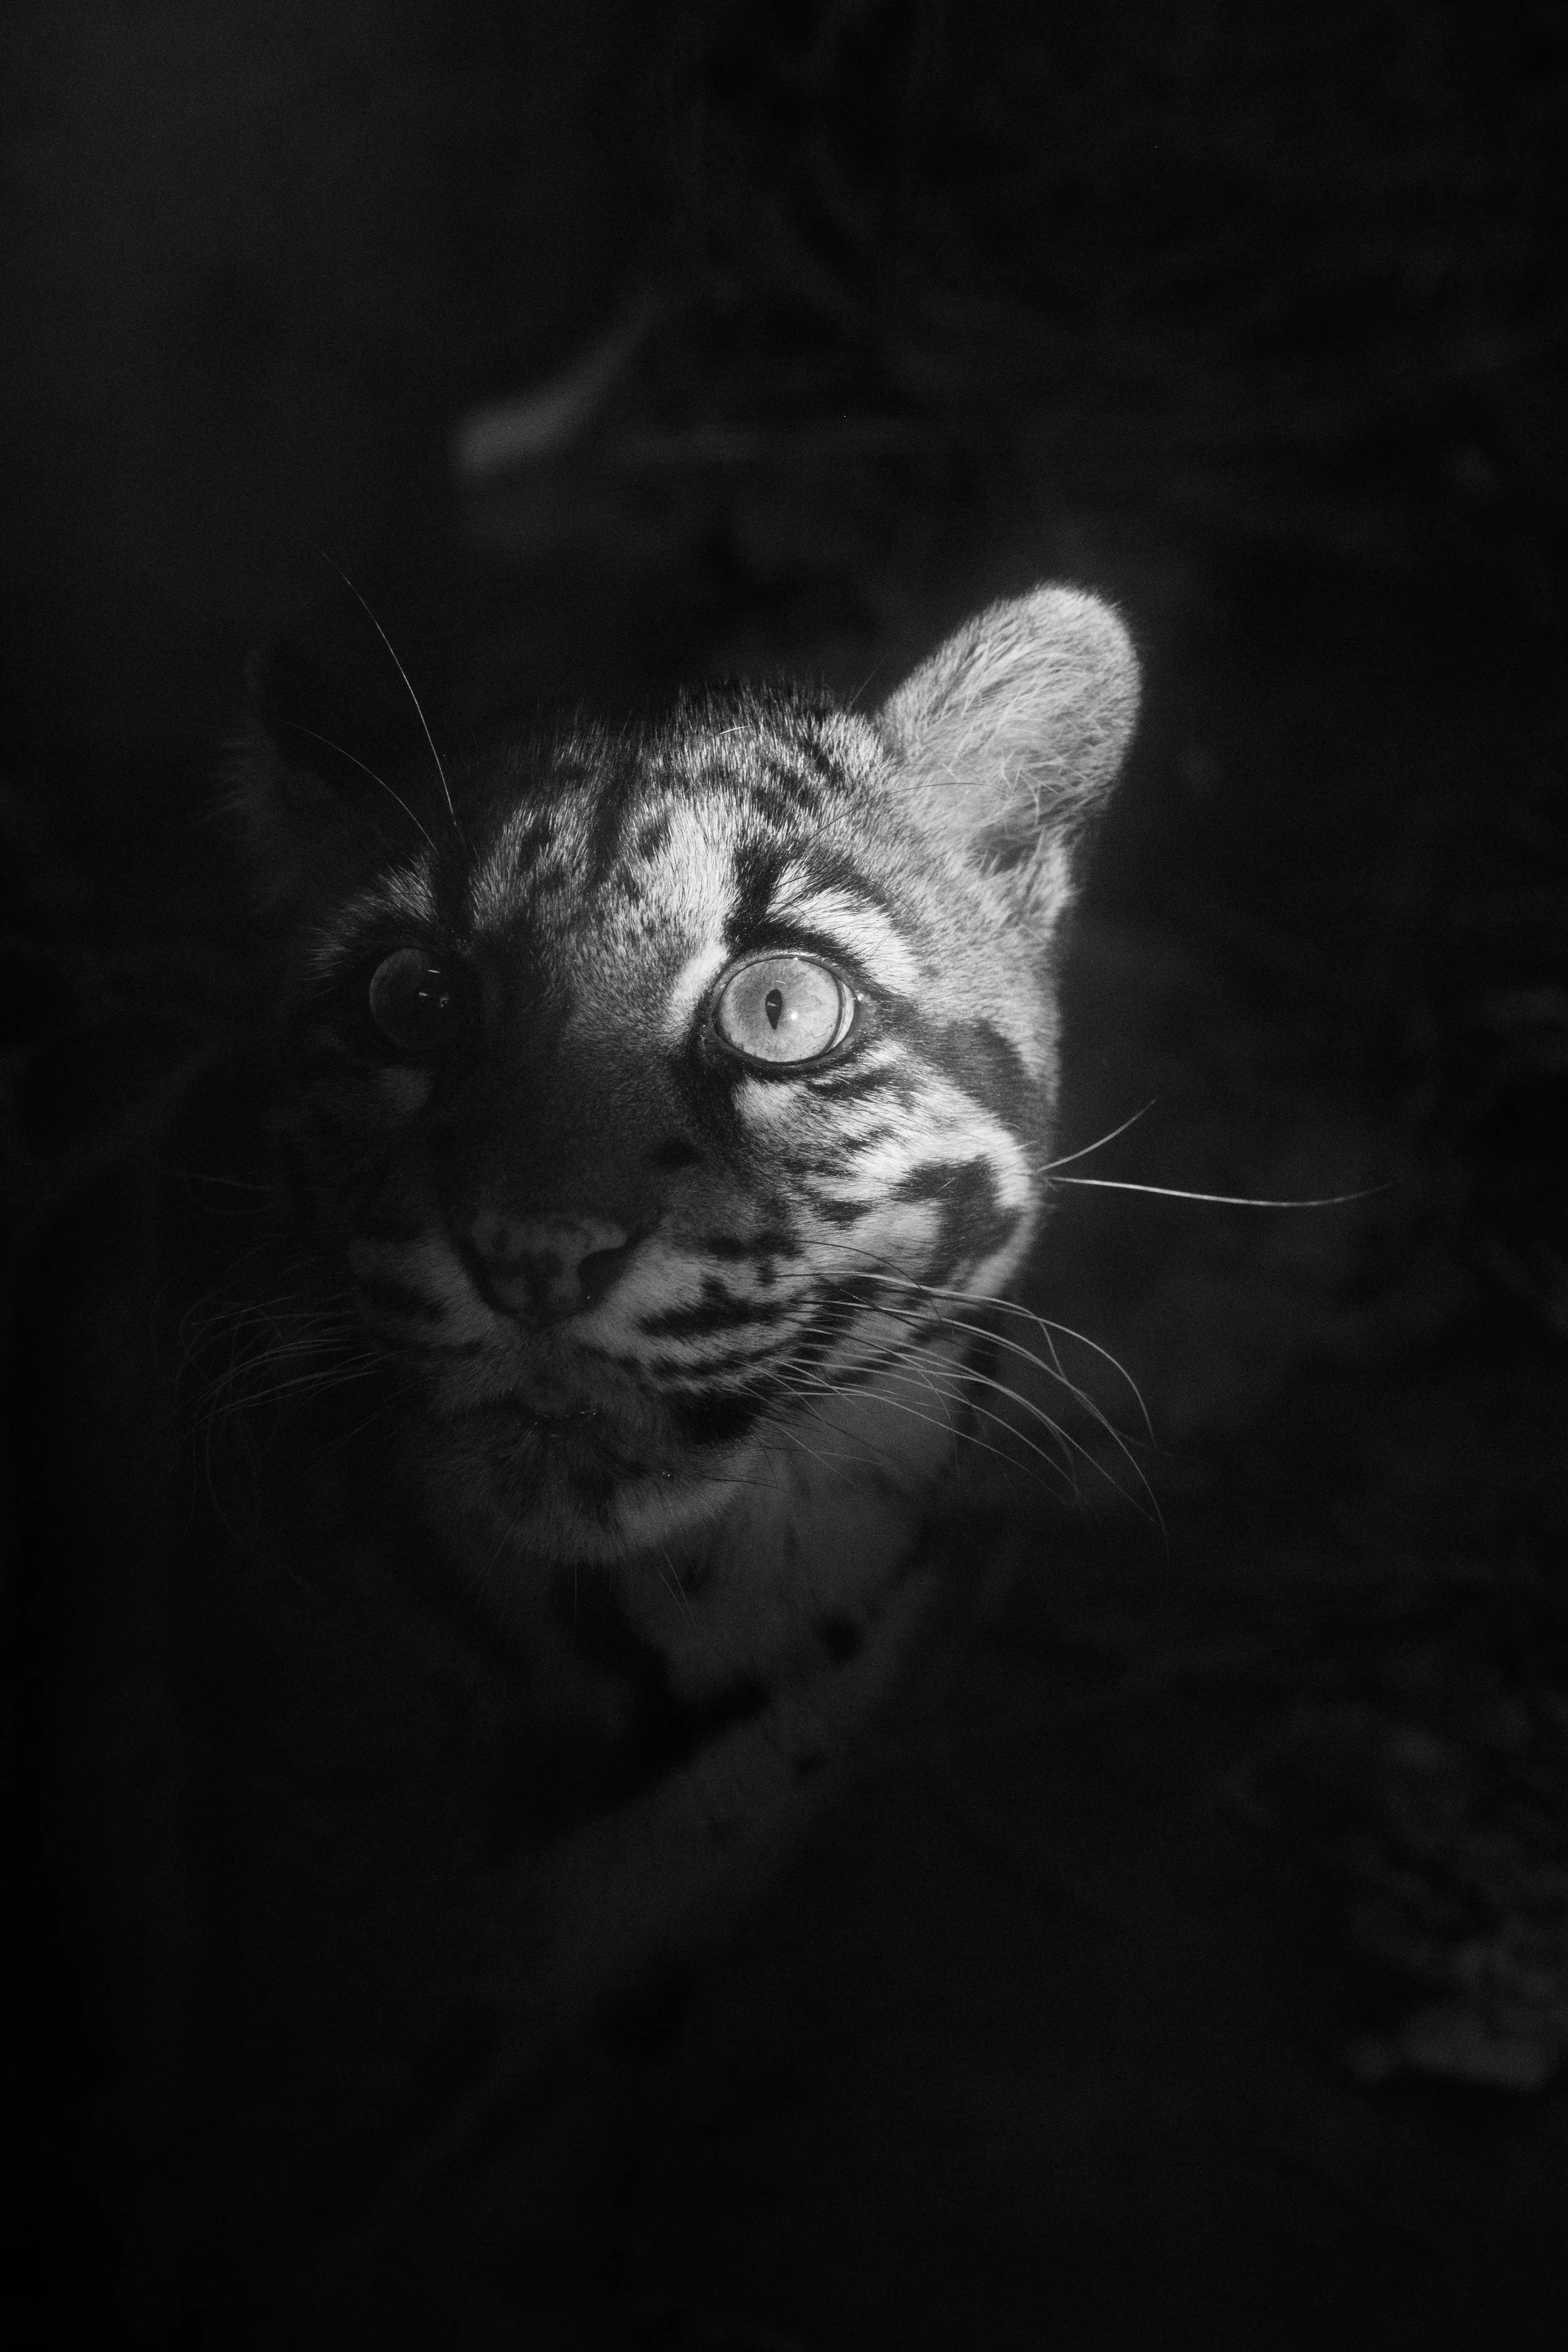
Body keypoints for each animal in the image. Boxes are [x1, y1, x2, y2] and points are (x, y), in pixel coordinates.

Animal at [10, 583, 1138, 2348]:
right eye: (412, 1001)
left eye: (780, 1006)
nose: (533, 1255)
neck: (687, 1627)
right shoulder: (282, 2091)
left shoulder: (609, 2011)